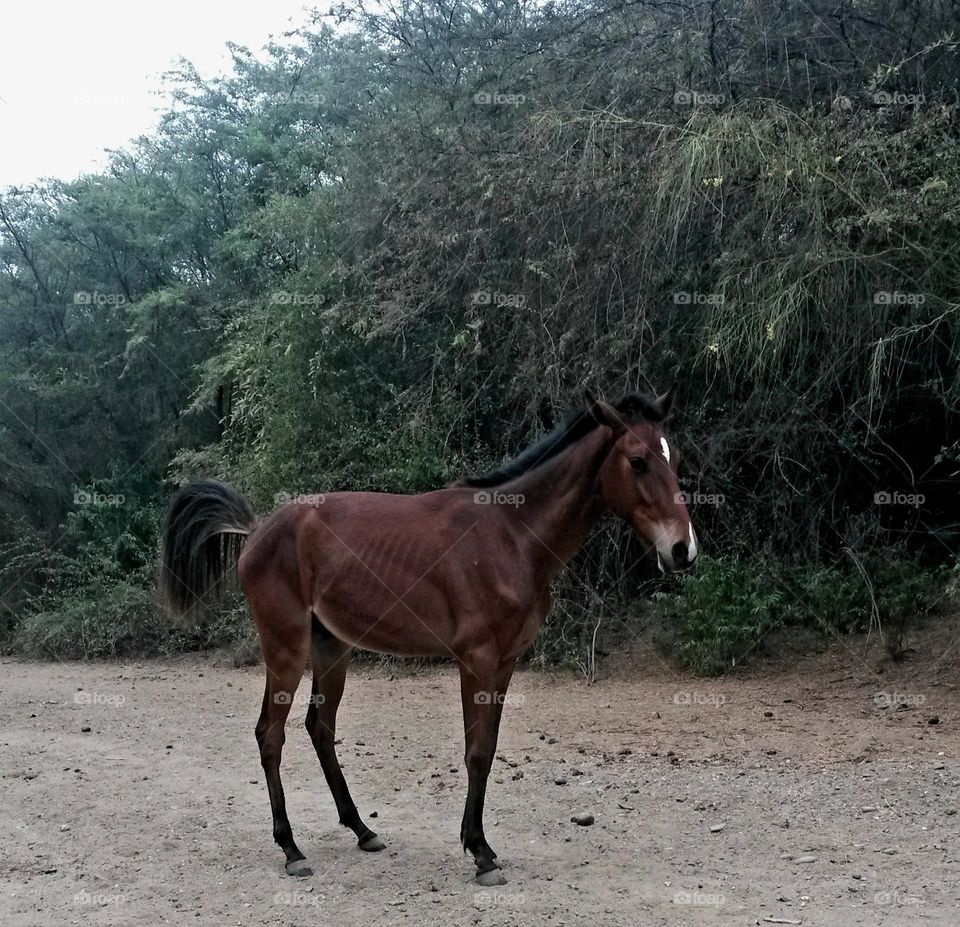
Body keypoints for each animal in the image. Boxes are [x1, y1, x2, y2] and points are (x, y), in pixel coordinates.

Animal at [160, 388, 698, 885]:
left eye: (674, 458)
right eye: (637, 461)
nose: (683, 550)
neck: (511, 535)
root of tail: (256, 532)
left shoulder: (504, 664)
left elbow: (488, 749)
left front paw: (479, 844)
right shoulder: (476, 660)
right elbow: (475, 753)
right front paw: (480, 853)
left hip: (332, 649)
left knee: (320, 729)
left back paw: (362, 830)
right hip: (286, 649)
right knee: (270, 736)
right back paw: (291, 849)